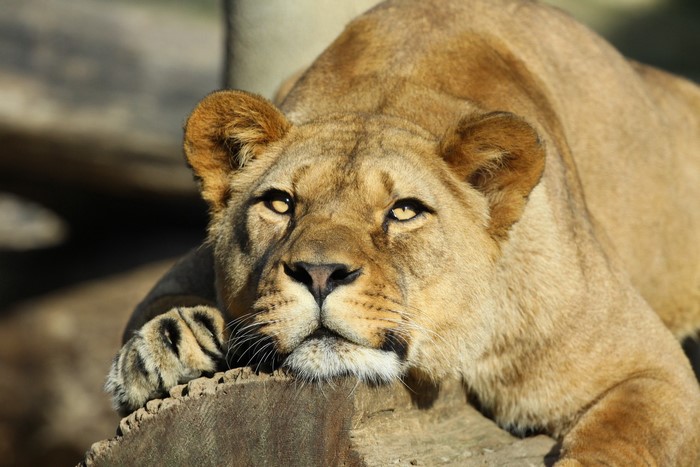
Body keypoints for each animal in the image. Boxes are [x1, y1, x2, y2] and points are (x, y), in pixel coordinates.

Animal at [105, 0, 700, 464]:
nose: (319, 273)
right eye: (279, 203)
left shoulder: (652, 369)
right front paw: (167, 347)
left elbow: (623, 437)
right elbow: (151, 305)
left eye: (405, 212)